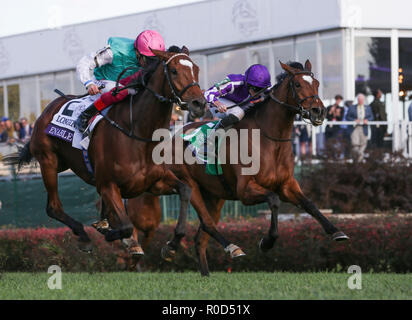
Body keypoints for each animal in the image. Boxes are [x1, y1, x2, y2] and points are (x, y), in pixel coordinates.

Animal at [10, 47, 206, 252]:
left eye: (196, 69)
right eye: (174, 71)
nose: (199, 104)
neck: (137, 134)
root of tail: (47, 110)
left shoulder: (153, 183)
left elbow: (185, 190)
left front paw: (173, 242)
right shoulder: (108, 185)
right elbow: (126, 227)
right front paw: (119, 237)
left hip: (64, 164)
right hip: (48, 161)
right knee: (53, 207)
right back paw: (84, 236)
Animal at [157, 60, 348, 276]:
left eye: (316, 83)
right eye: (298, 84)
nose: (318, 111)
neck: (269, 139)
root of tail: (173, 137)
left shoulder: (287, 185)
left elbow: (310, 204)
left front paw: (336, 231)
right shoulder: (245, 190)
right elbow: (273, 200)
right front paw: (267, 242)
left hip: (215, 196)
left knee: (201, 238)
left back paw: (204, 270)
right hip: (191, 184)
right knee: (206, 221)